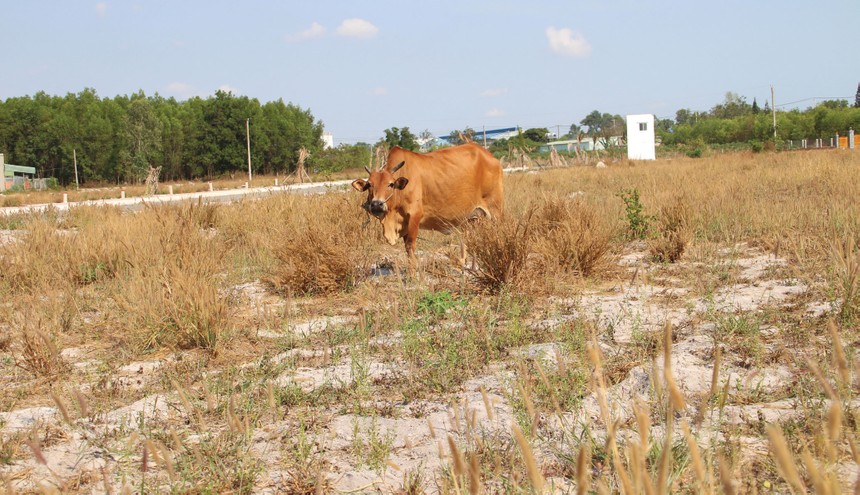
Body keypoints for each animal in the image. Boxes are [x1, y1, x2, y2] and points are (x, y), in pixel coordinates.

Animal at [350, 143, 504, 260]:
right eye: (369, 185)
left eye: (391, 184)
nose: (377, 204)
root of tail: (490, 156)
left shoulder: (415, 216)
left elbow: (410, 247)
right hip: (471, 218)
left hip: (495, 211)